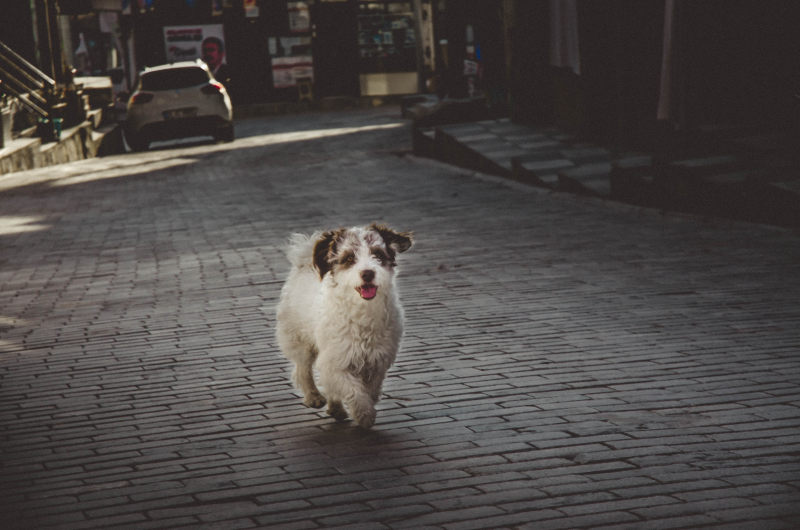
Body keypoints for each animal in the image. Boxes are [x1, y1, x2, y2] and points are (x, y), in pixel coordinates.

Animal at [276, 222, 412, 424]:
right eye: (349, 258)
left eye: (378, 255)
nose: (368, 273)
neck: (362, 308)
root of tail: (304, 260)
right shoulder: (337, 360)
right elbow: (351, 389)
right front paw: (364, 414)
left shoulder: (378, 359)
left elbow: (370, 388)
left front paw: (366, 405)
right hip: (300, 339)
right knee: (302, 369)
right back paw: (313, 396)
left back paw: (335, 408)